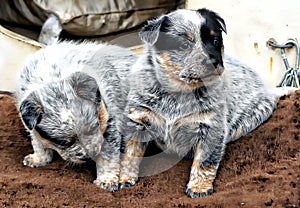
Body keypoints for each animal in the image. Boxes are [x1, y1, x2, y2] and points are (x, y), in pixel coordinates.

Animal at [15, 41, 137, 193]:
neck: (52, 78)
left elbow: (108, 157)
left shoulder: (110, 122)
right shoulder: (30, 124)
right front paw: (39, 158)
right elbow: (38, 142)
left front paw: (106, 180)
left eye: (93, 129)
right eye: (63, 142)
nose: (88, 156)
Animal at [118, 8, 296, 198]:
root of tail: (268, 91)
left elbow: (205, 161)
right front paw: (124, 179)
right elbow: (129, 153)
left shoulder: (211, 126)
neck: (178, 92)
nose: (213, 61)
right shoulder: (138, 118)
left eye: (216, 41)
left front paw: (199, 187)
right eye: (184, 45)